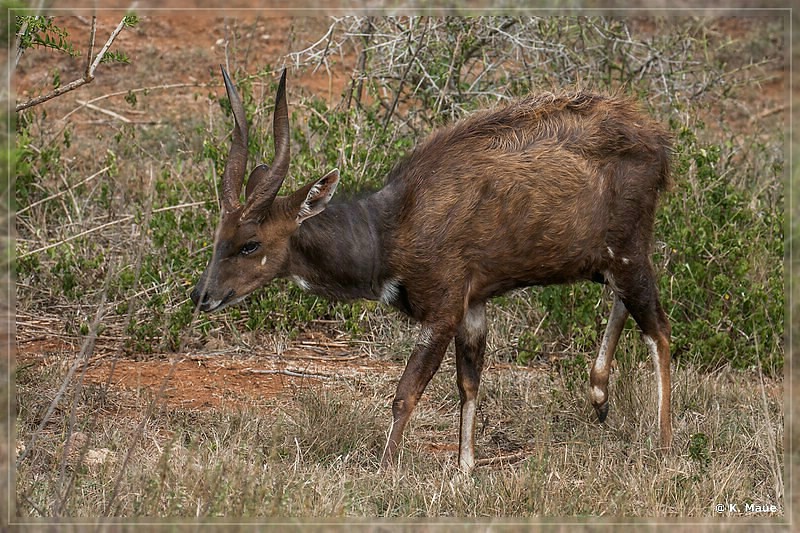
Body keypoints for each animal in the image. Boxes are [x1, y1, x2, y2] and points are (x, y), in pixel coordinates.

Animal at [191, 65, 672, 470]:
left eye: (250, 243)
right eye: (218, 236)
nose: (202, 296)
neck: (388, 230)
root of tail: (658, 139)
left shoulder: (444, 308)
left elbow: (406, 392)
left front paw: (385, 471)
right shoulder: (473, 304)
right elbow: (469, 382)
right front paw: (464, 469)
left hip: (627, 250)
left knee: (659, 329)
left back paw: (664, 445)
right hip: (606, 258)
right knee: (626, 305)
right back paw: (599, 397)